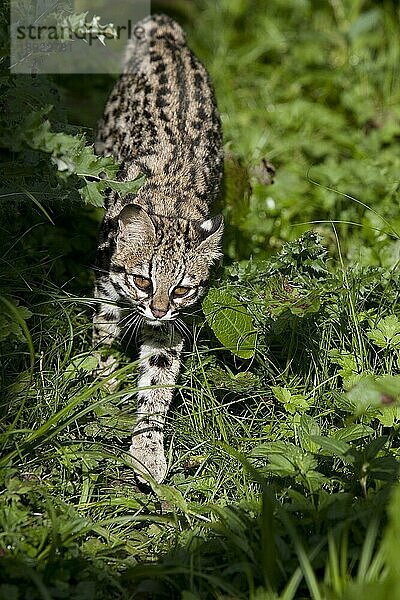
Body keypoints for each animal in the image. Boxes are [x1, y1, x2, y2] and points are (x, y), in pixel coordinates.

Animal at [94, 14, 225, 482]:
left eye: (182, 288)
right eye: (142, 280)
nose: (157, 309)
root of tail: (166, 30)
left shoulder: (171, 327)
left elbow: (158, 379)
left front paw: (148, 448)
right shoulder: (108, 286)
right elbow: (104, 335)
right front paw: (101, 383)